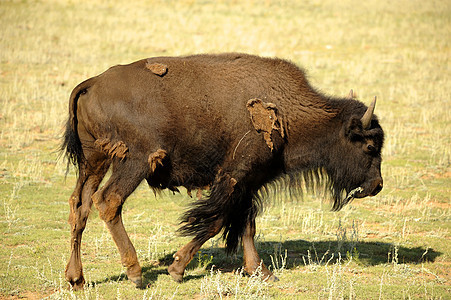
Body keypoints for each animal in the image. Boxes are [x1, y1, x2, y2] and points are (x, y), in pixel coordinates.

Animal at [61, 52, 384, 290]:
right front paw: (177, 268)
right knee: (109, 201)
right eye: (369, 146)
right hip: (135, 162)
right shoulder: (235, 178)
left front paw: (262, 272)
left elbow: (247, 224)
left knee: (80, 205)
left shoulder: (249, 183)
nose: (377, 185)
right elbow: (217, 221)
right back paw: (136, 273)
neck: (289, 112)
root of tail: (92, 83)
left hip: (94, 161)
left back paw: (77, 279)